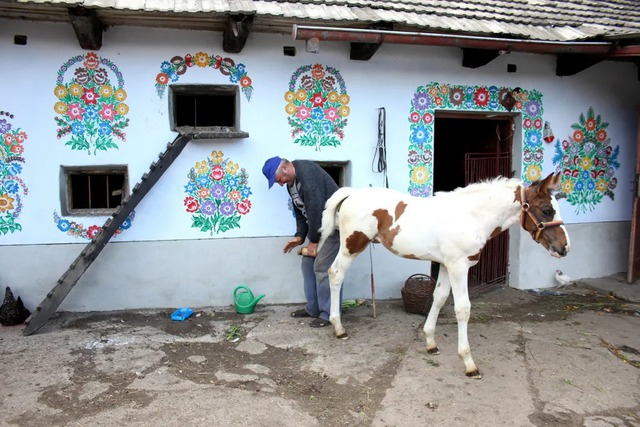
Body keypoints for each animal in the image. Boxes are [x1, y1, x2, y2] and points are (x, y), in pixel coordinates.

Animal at [320, 172, 568, 380]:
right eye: (547, 210)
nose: (564, 248)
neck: (472, 216)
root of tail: (352, 193)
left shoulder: (447, 265)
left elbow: (439, 298)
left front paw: (430, 342)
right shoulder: (459, 266)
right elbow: (462, 309)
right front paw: (469, 363)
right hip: (351, 246)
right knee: (335, 274)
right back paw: (339, 328)